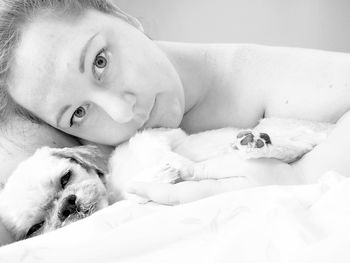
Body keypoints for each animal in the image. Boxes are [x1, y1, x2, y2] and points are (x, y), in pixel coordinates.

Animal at [0, 118, 334, 240]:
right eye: (35, 228)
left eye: (65, 178)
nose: (67, 206)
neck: (112, 188)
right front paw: (164, 174)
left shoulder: (157, 136)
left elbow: (164, 153)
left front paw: (174, 167)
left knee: (292, 143)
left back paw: (257, 143)